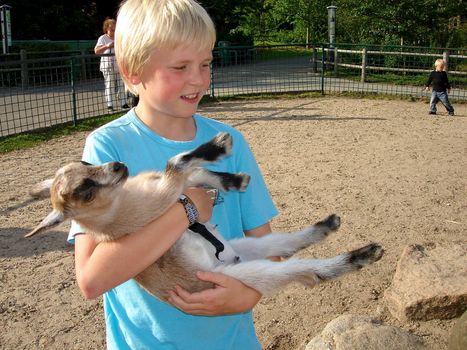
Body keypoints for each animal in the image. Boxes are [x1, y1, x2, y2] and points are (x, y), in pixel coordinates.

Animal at [26, 133, 384, 302]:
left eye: (85, 163)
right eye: (84, 190)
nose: (118, 167)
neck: (126, 204)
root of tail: (231, 260)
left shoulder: (168, 185)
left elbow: (195, 172)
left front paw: (235, 179)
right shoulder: (167, 191)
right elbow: (178, 162)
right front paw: (221, 146)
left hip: (247, 247)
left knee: (286, 242)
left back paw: (328, 224)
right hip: (243, 274)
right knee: (304, 270)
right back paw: (363, 254)